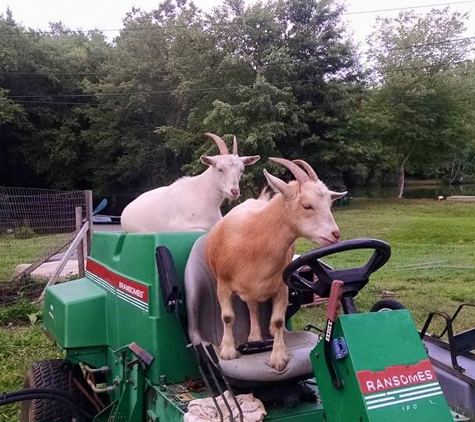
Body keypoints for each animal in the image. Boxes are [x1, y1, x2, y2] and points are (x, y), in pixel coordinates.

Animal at [205, 160, 346, 370]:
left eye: (329, 204)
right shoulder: (222, 284)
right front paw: (228, 351)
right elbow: (228, 317)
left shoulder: (282, 285)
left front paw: (278, 357)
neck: (252, 240)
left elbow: (279, 321)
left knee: (254, 307)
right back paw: (253, 336)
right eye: (307, 205)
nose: (335, 234)